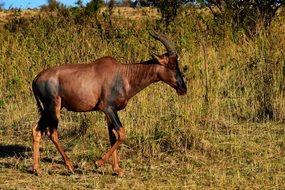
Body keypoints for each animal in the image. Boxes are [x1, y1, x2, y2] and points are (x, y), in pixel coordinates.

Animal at [31, 31, 186, 177]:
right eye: (171, 65)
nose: (183, 88)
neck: (124, 74)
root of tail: (35, 79)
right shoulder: (107, 108)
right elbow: (121, 133)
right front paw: (98, 163)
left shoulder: (111, 112)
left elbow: (113, 137)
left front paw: (117, 169)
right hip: (53, 108)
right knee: (52, 132)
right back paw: (69, 166)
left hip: (46, 110)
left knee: (37, 130)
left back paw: (37, 169)